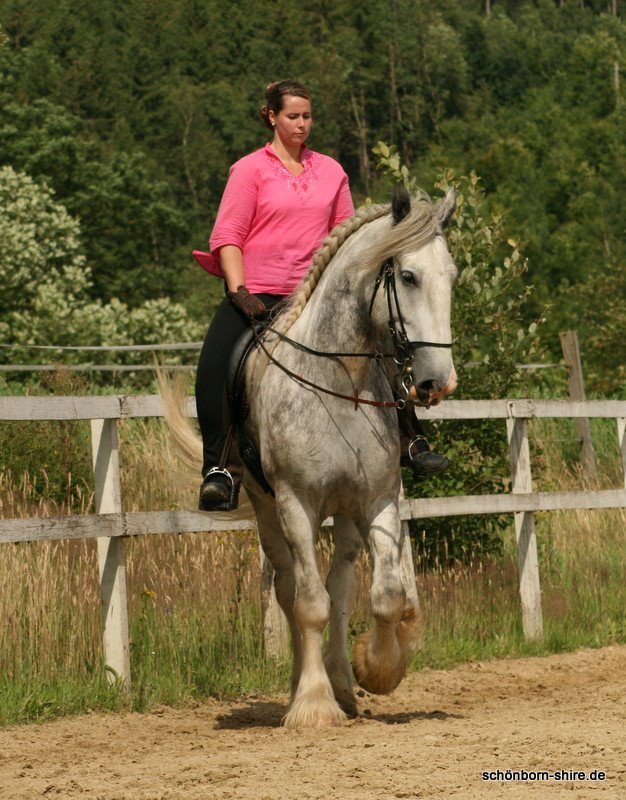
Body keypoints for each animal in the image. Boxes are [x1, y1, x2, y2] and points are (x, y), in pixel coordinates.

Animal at [163, 183, 457, 729]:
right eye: (407, 276)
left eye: (451, 275)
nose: (436, 383)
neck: (340, 383)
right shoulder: (295, 503)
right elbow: (308, 605)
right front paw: (313, 705)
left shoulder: (378, 498)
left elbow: (385, 596)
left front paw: (376, 670)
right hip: (266, 509)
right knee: (291, 589)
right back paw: (306, 685)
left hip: (344, 512)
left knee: (340, 587)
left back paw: (342, 682)